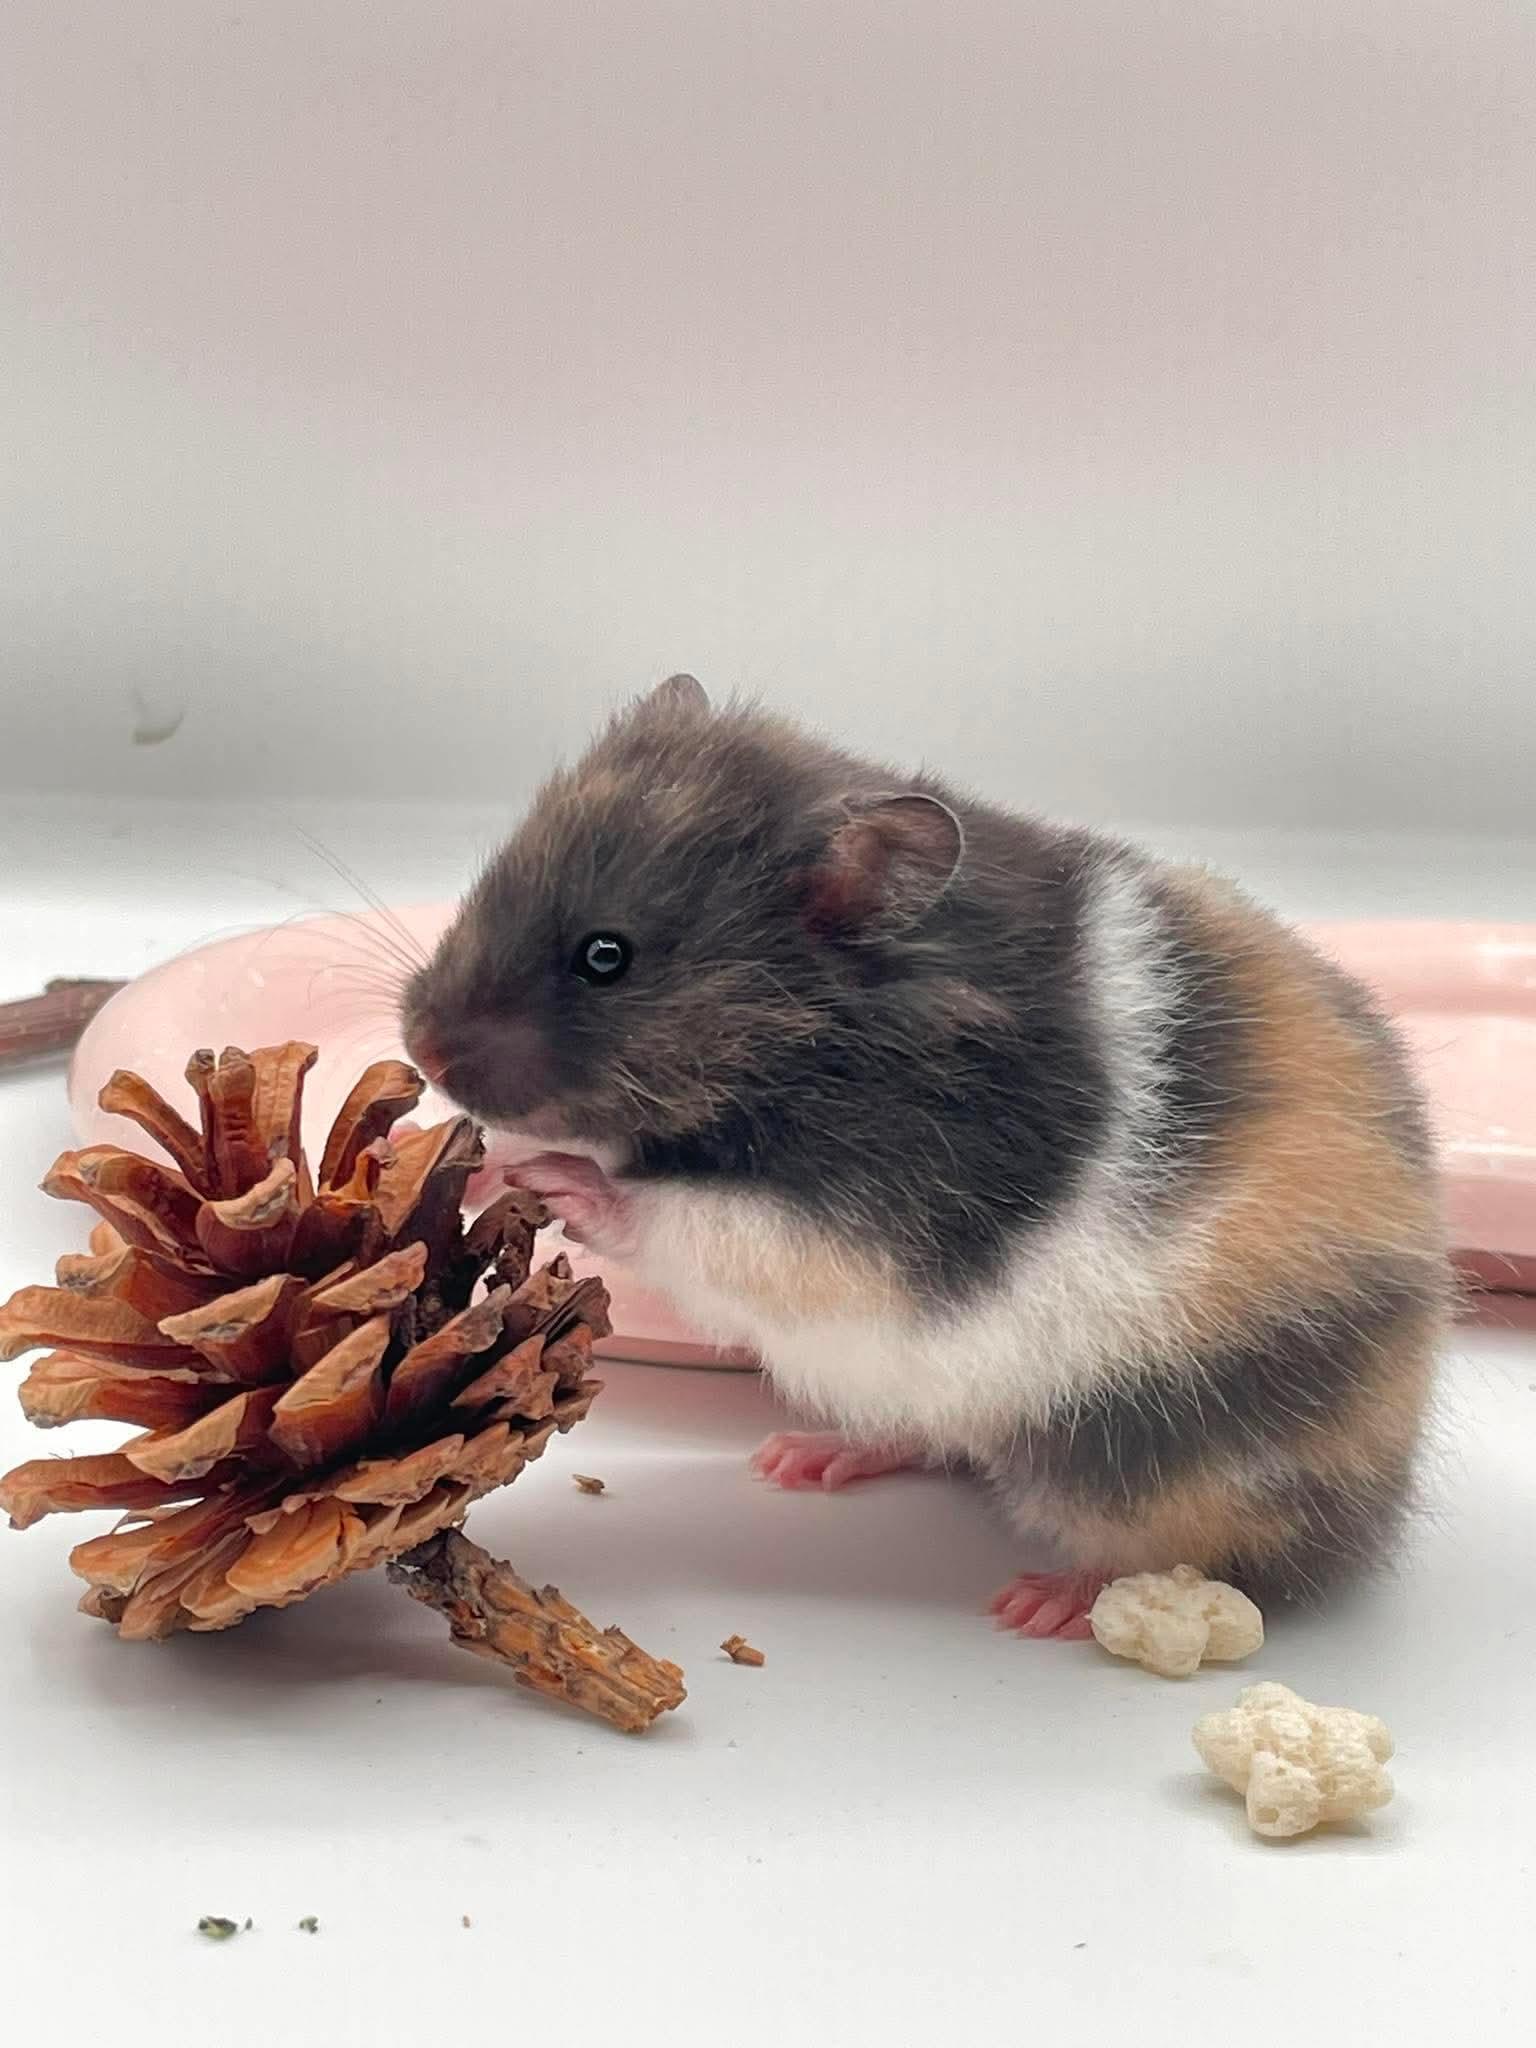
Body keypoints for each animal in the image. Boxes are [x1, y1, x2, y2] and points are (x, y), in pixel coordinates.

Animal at [403, 674, 1450, 1637]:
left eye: (606, 956)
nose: (421, 1049)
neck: (825, 1038)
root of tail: (1385, 1492)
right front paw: (475, 1158)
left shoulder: (862, 1226)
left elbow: (681, 1215)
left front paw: (557, 1178)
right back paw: (803, 1459)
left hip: (1165, 1452)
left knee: (1188, 1544)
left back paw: (1042, 1604)